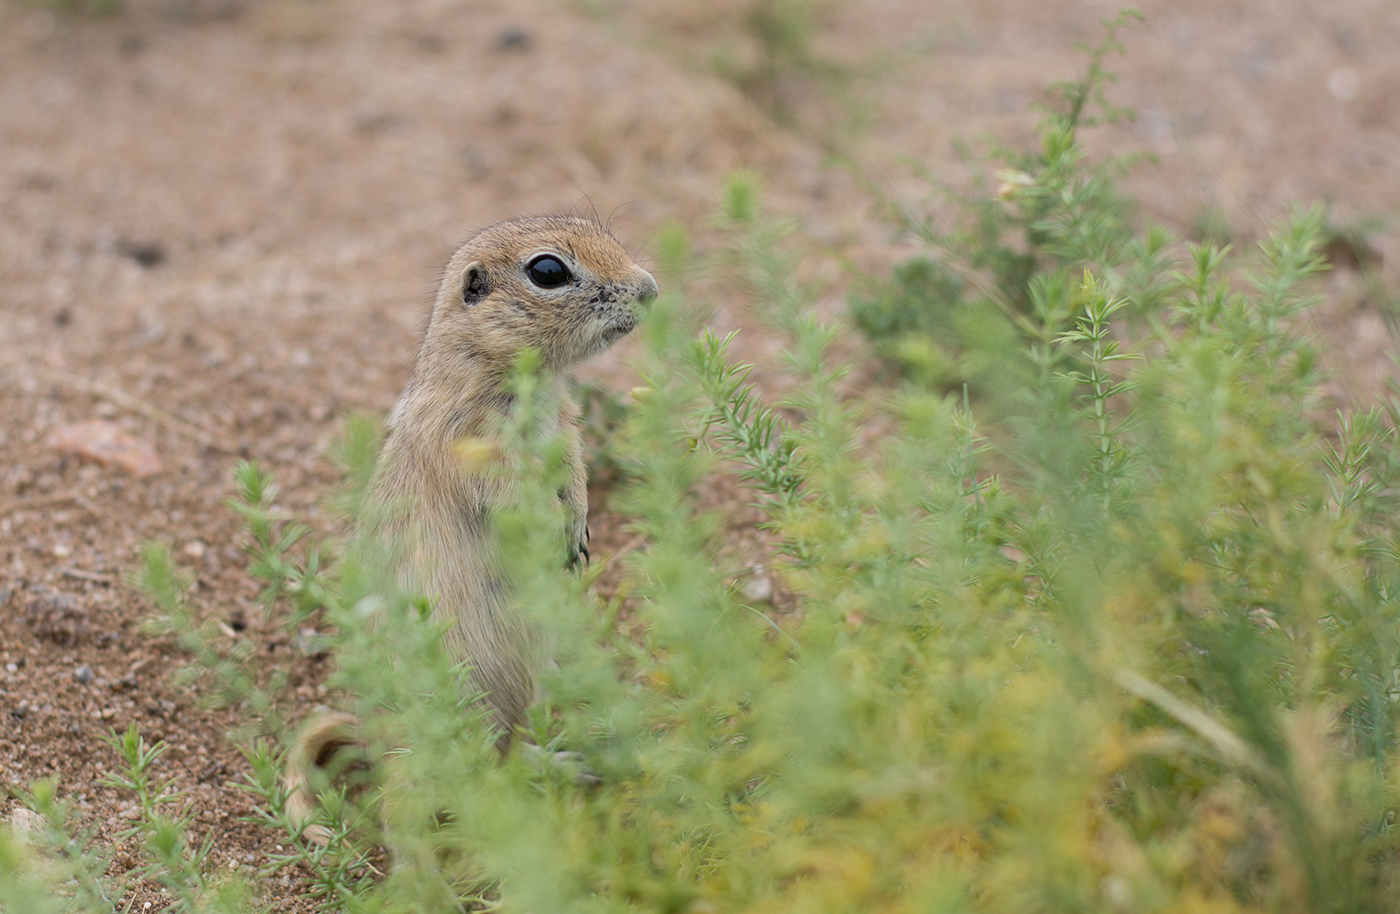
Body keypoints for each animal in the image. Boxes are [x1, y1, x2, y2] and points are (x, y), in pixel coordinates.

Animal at [287, 214, 658, 828]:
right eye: (548, 271)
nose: (650, 290)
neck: (526, 382)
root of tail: (371, 737)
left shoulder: (564, 425)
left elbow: (574, 469)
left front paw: (578, 531)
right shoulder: (470, 444)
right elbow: (513, 494)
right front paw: (554, 532)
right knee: (406, 808)